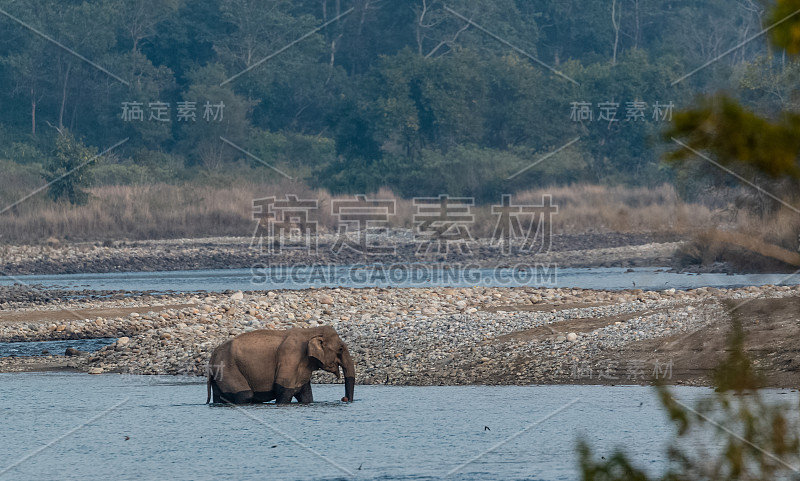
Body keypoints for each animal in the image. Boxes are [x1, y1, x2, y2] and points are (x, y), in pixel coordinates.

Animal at [208, 324, 354, 404]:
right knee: (245, 395)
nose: (344, 398)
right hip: (227, 368)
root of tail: (212, 357)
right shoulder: (290, 357)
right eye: (340, 349)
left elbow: (306, 395)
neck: (310, 331)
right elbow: (283, 389)